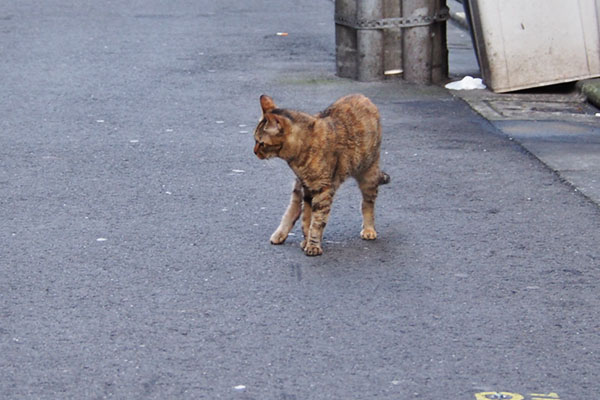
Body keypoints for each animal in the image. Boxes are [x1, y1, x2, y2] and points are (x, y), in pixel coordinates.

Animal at [252, 94, 390, 256]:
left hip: (368, 173)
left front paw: (312, 245)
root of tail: (363, 97)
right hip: (299, 186)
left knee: (367, 204)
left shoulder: (322, 190)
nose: (254, 151)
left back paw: (369, 229)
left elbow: (317, 221)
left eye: (261, 143)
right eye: (255, 140)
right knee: (294, 207)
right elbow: (306, 219)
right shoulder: (307, 188)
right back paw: (280, 234)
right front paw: (307, 241)